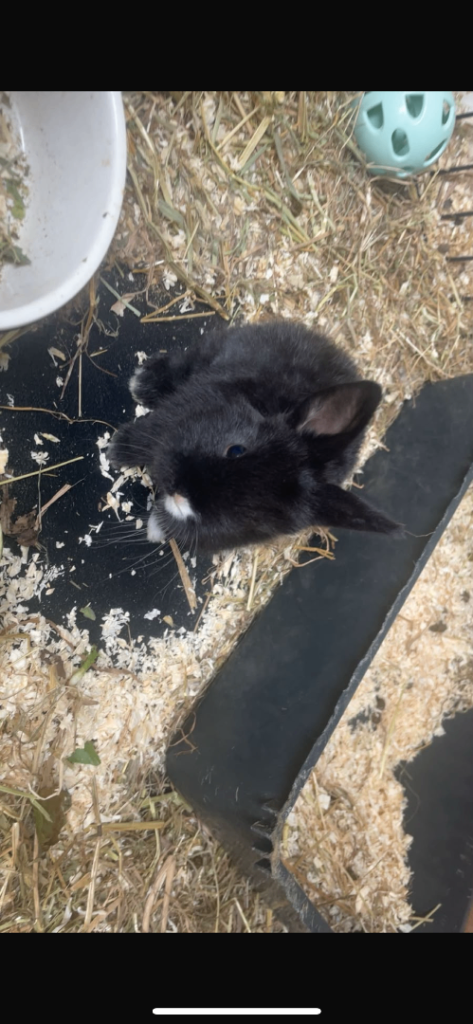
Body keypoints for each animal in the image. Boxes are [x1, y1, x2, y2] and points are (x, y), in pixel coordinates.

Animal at [108, 320, 401, 554]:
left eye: (252, 515)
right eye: (236, 450)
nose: (182, 496)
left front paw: (155, 528)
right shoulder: (184, 407)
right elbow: (148, 436)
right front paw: (116, 450)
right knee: (186, 362)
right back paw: (142, 381)